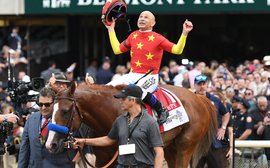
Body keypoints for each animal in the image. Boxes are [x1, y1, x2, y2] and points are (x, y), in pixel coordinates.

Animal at [44, 82, 217, 167]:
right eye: (51, 109)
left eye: (65, 111)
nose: (50, 144)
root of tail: (198, 97)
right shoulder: (102, 159)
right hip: (169, 147)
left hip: (185, 146)